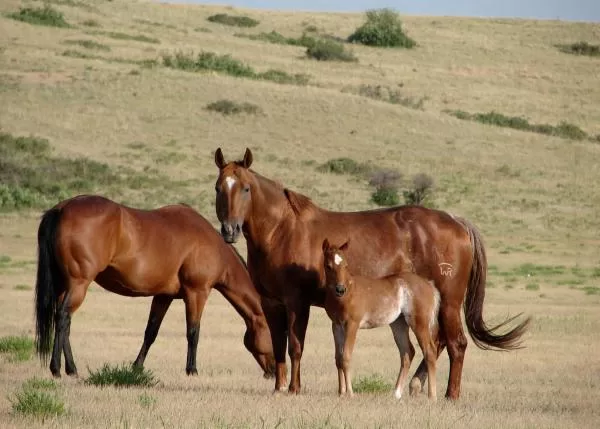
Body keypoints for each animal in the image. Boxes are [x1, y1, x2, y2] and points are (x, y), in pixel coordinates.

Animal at [34, 194, 276, 378]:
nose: (274, 371)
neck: (213, 246)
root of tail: (61, 208)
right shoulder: (197, 293)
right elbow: (193, 332)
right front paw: (192, 370)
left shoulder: (163, 296)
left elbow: (151, 332)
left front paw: (136, 367)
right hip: (79, 284)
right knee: (63, 317)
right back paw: (58, 369)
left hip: (65, 286)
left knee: (64, 322)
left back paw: (71, 369)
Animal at [324, 239, 440, 400]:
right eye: (328, 266)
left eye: (345, 265)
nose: (340, 289)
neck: (348, 293)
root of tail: (429, 285)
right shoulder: (336, 326)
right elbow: (338, 358)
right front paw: (341, 393)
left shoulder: (352, 324)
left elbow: (346, 357)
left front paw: (350, 393)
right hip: (398, 324)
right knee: (407, 352)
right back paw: (396, 394)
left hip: (419, 323)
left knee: (429, 351)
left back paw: (432, 396)